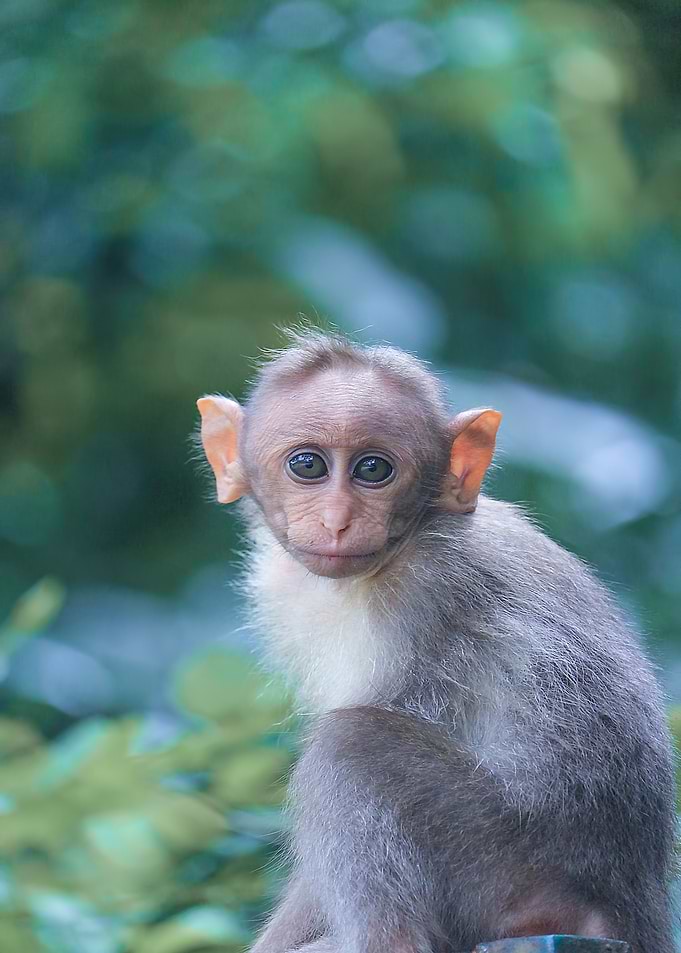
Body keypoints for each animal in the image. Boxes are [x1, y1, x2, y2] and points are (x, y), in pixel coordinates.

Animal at [196, 329, 676, 953]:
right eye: (307, 465)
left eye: (374, 469)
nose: (337, 519)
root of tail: (634, 904)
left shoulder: (425, 599)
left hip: (507, 868)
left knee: (350, 744)